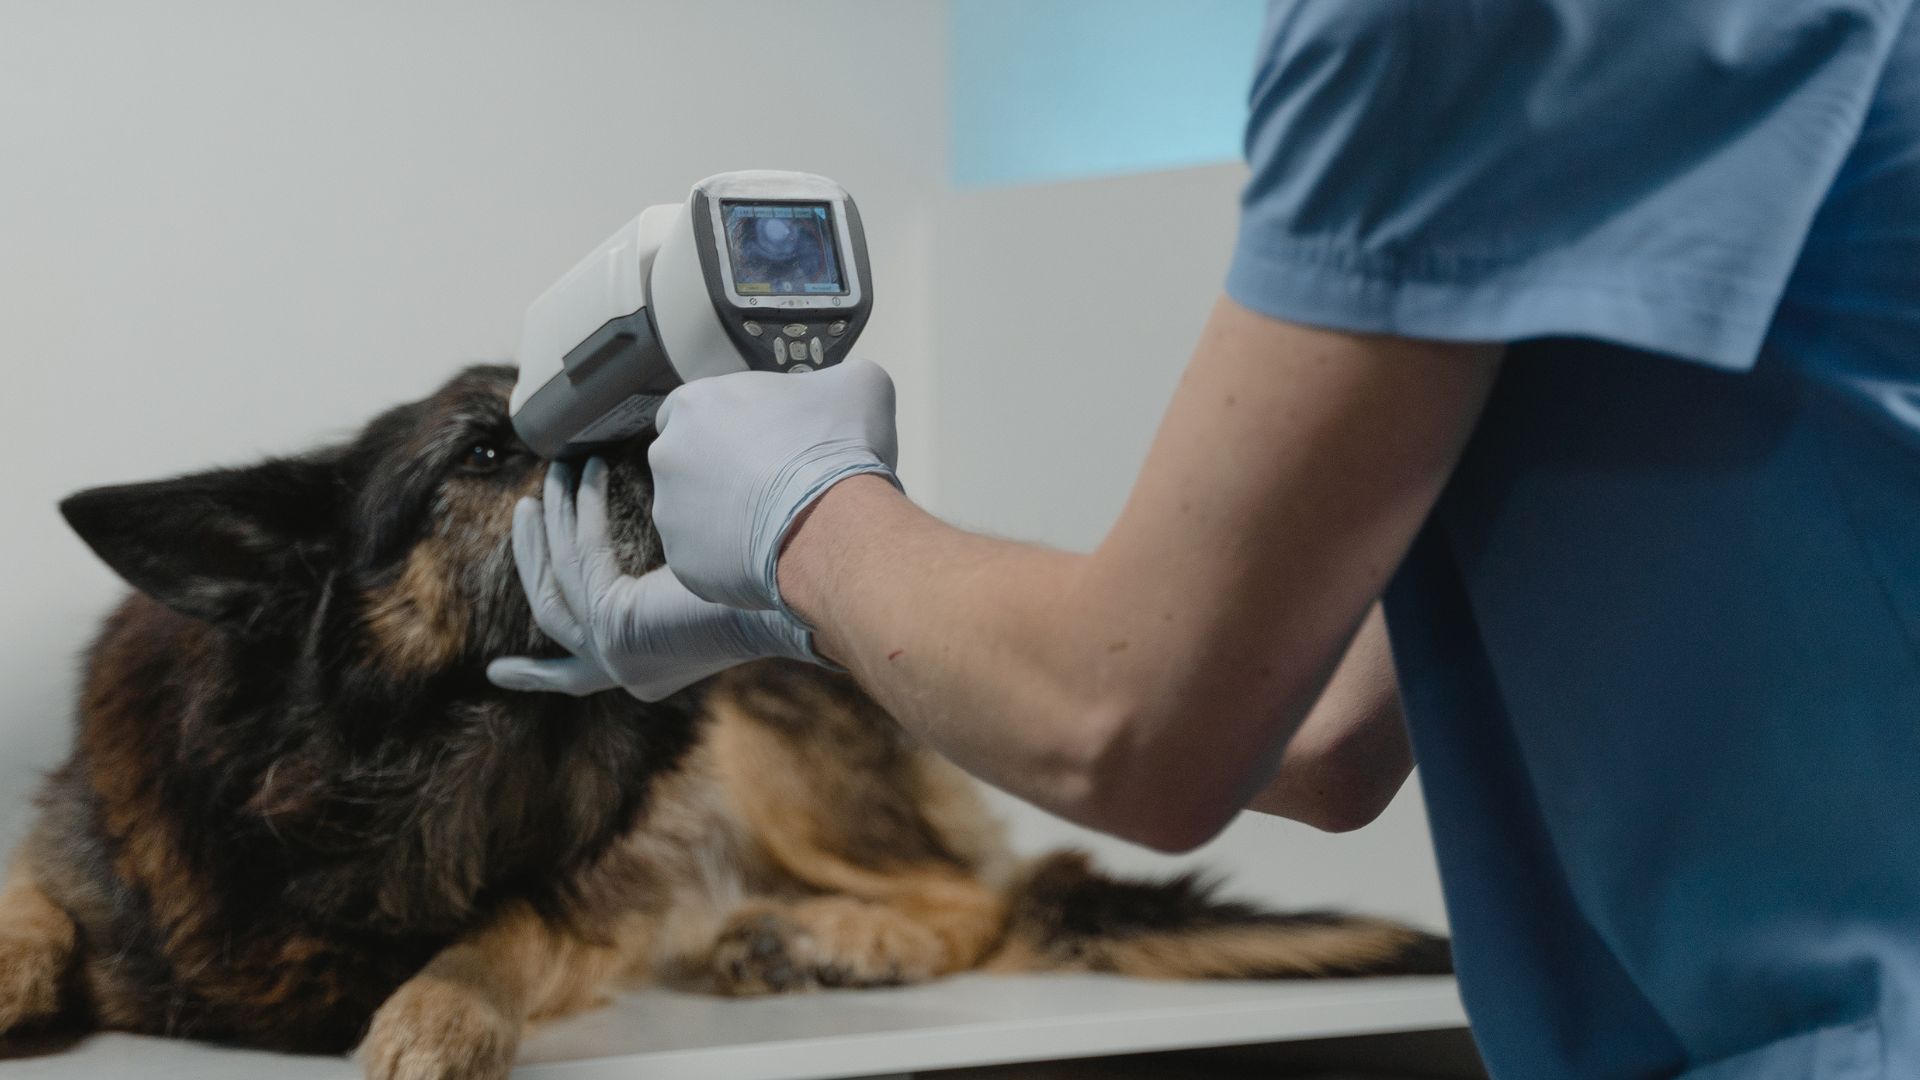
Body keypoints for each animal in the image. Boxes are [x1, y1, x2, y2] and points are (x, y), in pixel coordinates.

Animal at [0, 365, 1443, 1068]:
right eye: (482, 451)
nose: (676, 430)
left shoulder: (598, 897)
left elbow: (513, 927)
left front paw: (438, 1012)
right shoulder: (86, 838)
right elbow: (28, 900)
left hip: (750, 742)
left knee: (978, 898)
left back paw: (828, 938)